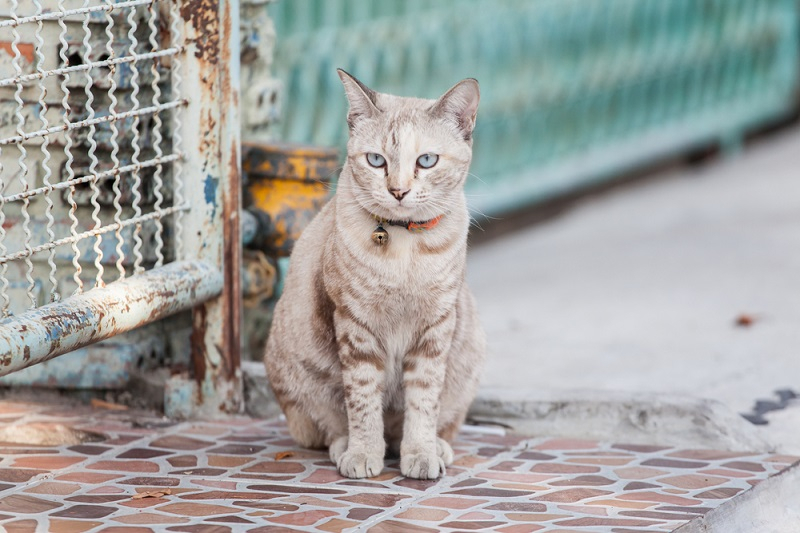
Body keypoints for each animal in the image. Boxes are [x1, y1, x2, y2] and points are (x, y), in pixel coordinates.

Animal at [266, 68, 484, 480]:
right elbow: (363, 401)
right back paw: (345, 447)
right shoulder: (356, 326)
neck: (405, 247)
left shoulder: (435, 329)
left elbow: (423, 401)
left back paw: (435, 446)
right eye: (376, 160)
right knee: (327, 427)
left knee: (427, 423)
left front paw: (421, 452)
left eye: (426, 160)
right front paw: (364, 453)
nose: (397, 191)